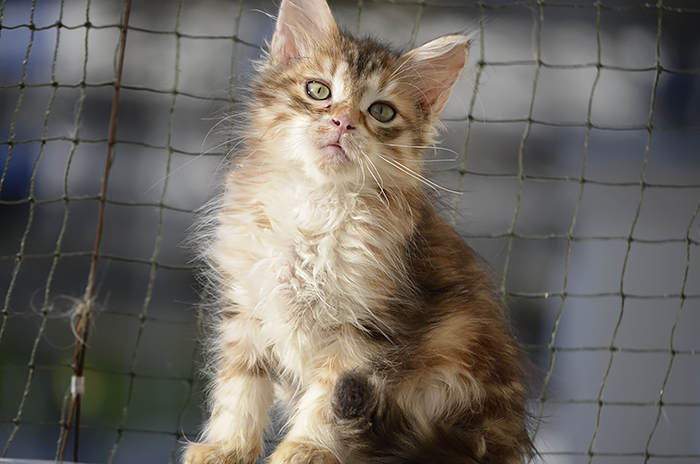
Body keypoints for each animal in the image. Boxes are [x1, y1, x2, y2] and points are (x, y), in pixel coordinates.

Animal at [183, 0, 532, 463]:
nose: (343, 123)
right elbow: (239, 388)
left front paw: (306, 449)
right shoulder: (247, 308)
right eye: (319, 91)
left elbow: (329, 398)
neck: (316, 206)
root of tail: (504, 438)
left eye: (381, 111)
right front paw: (226, 447)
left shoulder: (366, 327)